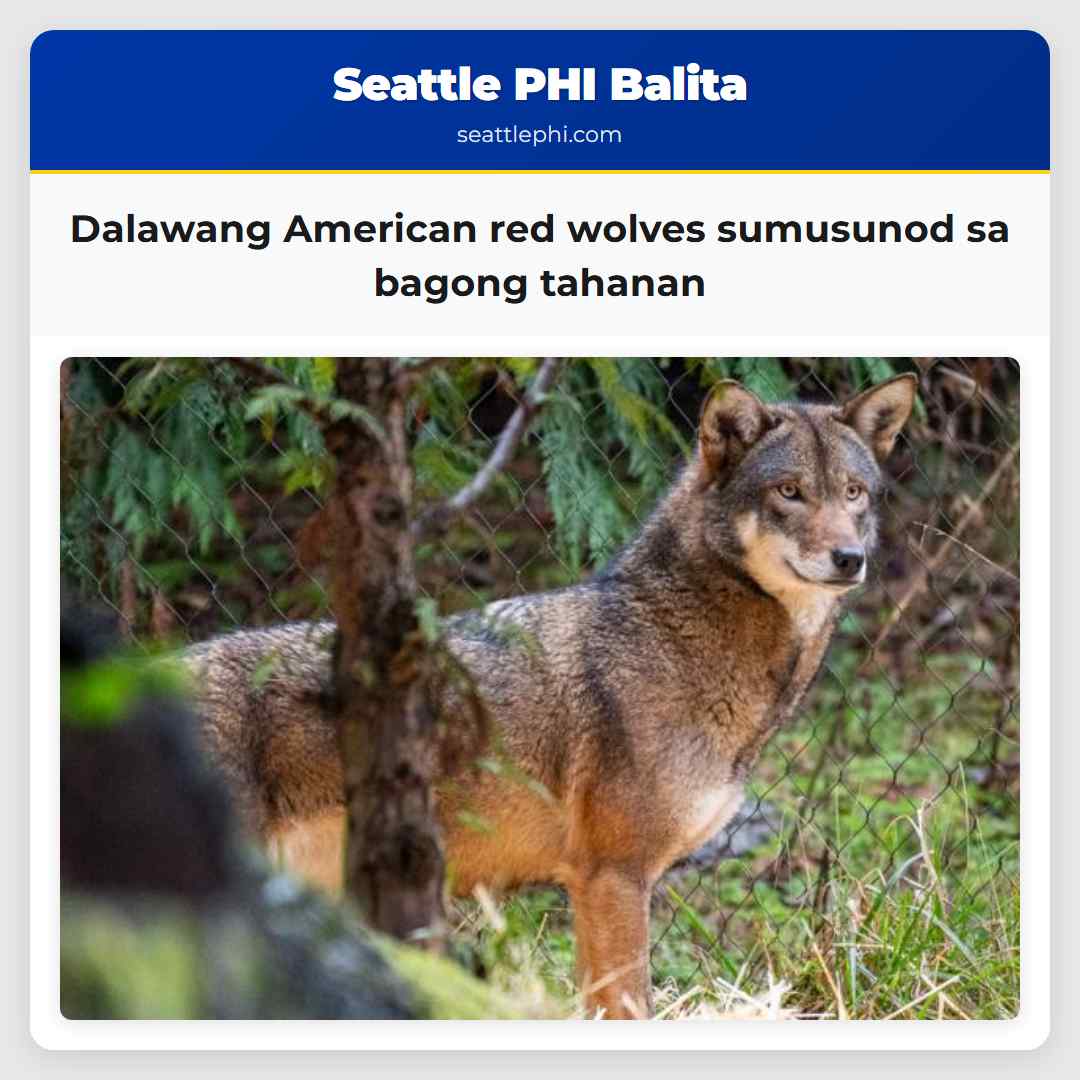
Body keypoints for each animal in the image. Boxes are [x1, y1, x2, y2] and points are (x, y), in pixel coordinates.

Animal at [184, 373, 917, 1019]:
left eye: (854, 493)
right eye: (790, 491)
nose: (850, 559)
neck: (678, 639)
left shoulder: (594, 886)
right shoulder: (613, 878)